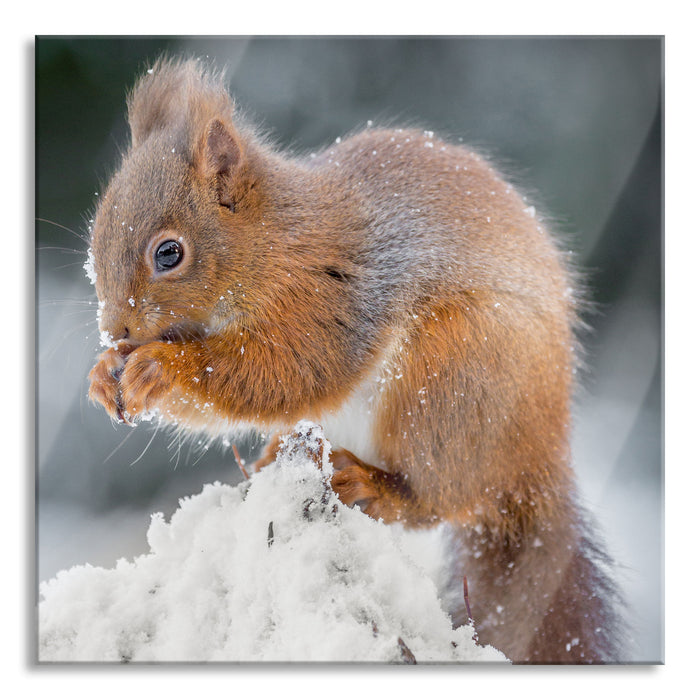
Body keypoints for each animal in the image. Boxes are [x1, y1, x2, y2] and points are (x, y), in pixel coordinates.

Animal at [87, 57, 624, 663]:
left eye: (169, 253)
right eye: (96, 235)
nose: (116, 329)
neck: (273, 245)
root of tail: (539, 463)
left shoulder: (330, 301)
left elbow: (283, 372)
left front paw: (160, 368)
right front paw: (104, 376)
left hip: (449, 384)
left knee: (434, 499)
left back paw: (372, 484)